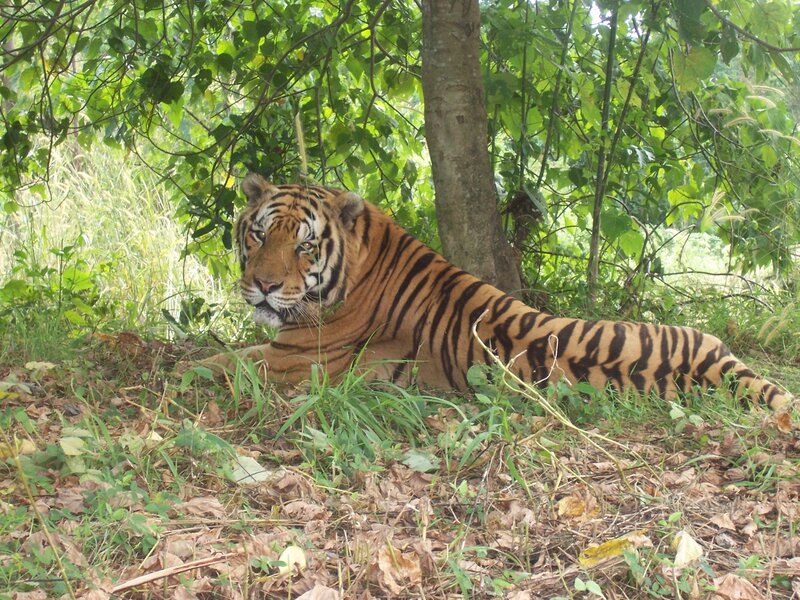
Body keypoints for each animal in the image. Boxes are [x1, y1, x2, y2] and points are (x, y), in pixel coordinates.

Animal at [202, 172, 792, 411]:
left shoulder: (294, 363)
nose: (263, 286)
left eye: (304, 246)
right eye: (259, 234)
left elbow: (215, 363)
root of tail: (716, 361)